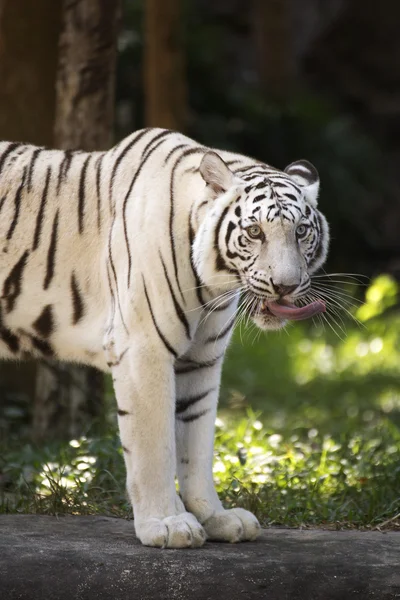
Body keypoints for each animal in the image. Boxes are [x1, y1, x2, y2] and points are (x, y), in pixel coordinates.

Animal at [0, 127, 328, 548]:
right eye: (255, 232)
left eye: (301, 230)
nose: (286, 286)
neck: (212, 287)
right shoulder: (143, 348)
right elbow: (154, 445)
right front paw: (166, 524)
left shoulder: (202, 358)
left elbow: (197, 443)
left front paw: (215, 517)